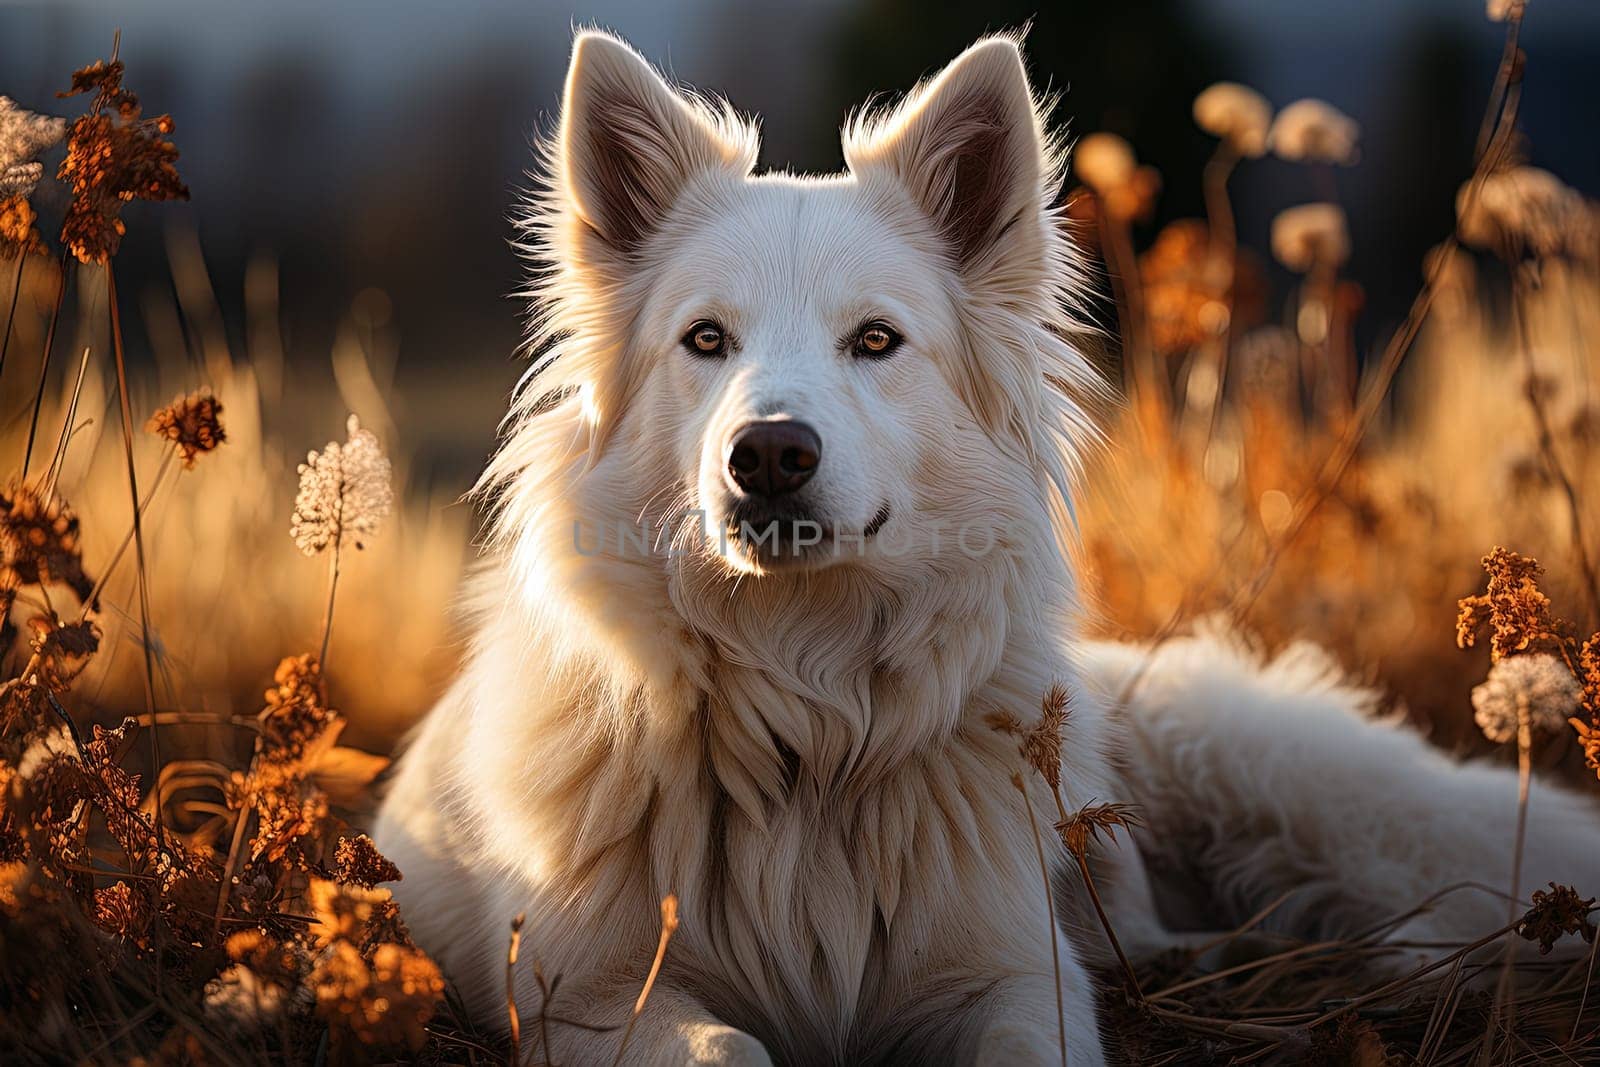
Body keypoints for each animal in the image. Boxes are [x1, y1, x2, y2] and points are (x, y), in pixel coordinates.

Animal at [374, 29, 1600, 1062]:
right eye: (705, 340)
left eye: (875, 340)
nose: (766, 456)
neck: (808, 740)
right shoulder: (592, 996)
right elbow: (728, 1045)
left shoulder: (1018, 979)